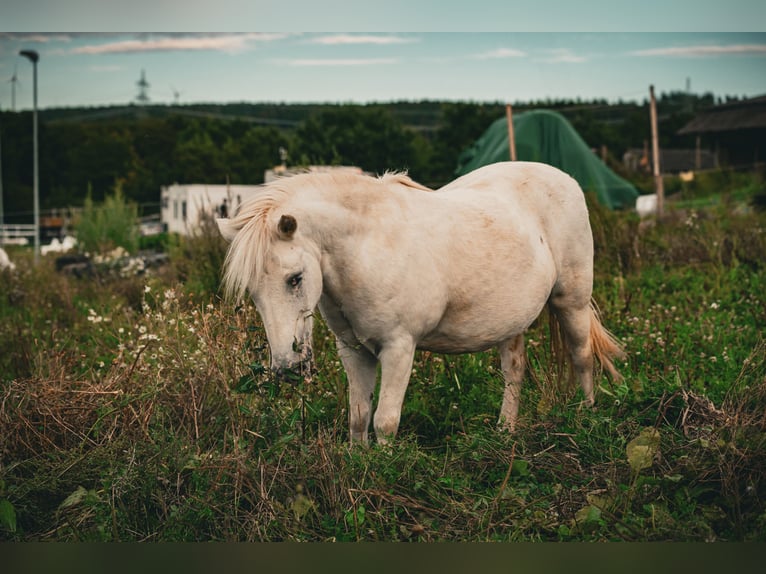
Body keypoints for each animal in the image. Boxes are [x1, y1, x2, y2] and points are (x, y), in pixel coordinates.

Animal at [217, 161, 624, 444]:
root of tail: (565, 179)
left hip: (571, 302)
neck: (368, 248)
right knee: (514, 370)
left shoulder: (399, 347)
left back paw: (587, 419)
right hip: (511, 322)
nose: (287, 367)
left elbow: (385, 421)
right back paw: (504, 431)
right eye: (254, 292)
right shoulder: (353, 350)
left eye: (295, 278)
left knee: (581, 357)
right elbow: (358, 418)